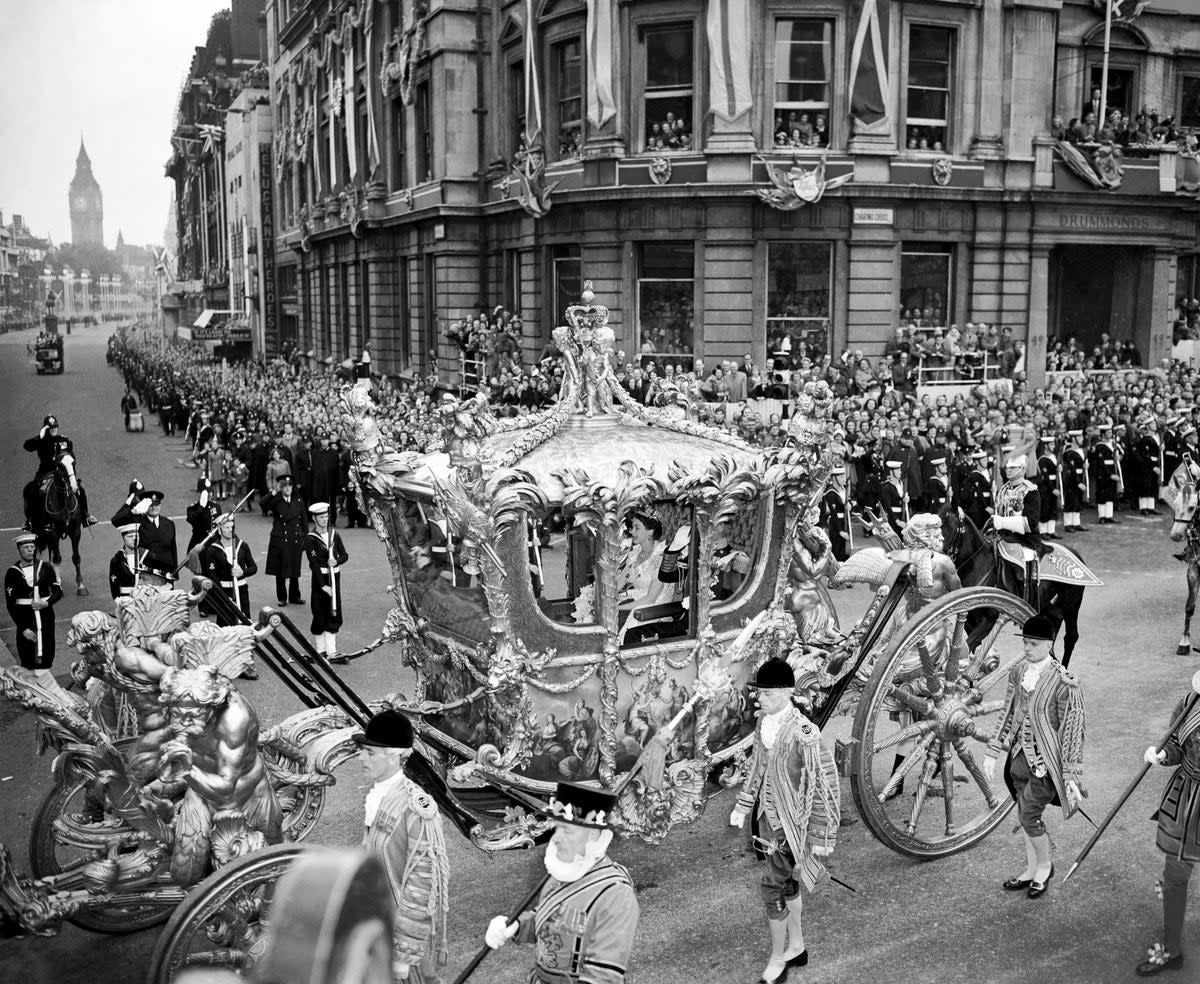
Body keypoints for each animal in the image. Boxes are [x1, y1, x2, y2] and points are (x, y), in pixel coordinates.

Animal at [25, 451, 87, 595]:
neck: (64, 503)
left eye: (74, 462)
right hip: (38, 531)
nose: (74, 487)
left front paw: (81, 585)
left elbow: (76, 557)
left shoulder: (75, 531)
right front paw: (58, 584)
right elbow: (57, 558)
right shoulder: (53, 532)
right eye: (61, 465)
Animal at [945, 511, 1089, 667]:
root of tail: (1075, 553)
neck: (977, 564)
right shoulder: (970, 621)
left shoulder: (990, 619)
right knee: (1054, 620)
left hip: (1072, 603)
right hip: (1046, 603)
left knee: (1071, 636)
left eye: (945, 526)